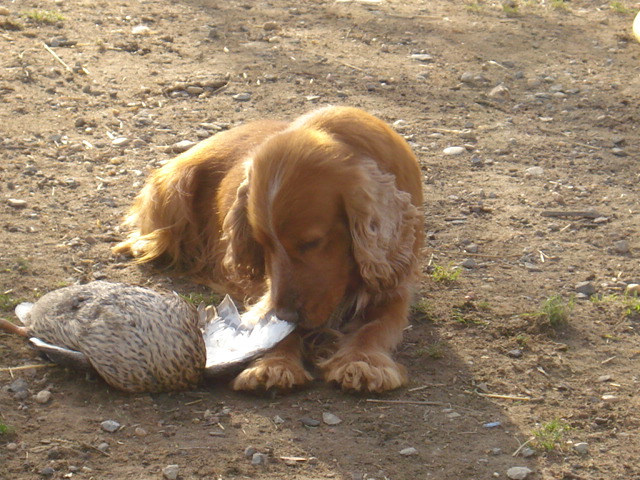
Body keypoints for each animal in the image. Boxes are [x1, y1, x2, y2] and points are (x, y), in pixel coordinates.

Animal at [115, 106, 424, 394]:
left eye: (311, 243)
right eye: (262, 243)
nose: (288, 315)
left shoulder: (393, 288)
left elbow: (375, 328)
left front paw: (363, 363)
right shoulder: (269, 294)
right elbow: (272, 326)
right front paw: (273, 366)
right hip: (174, 185)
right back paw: (144, 244)